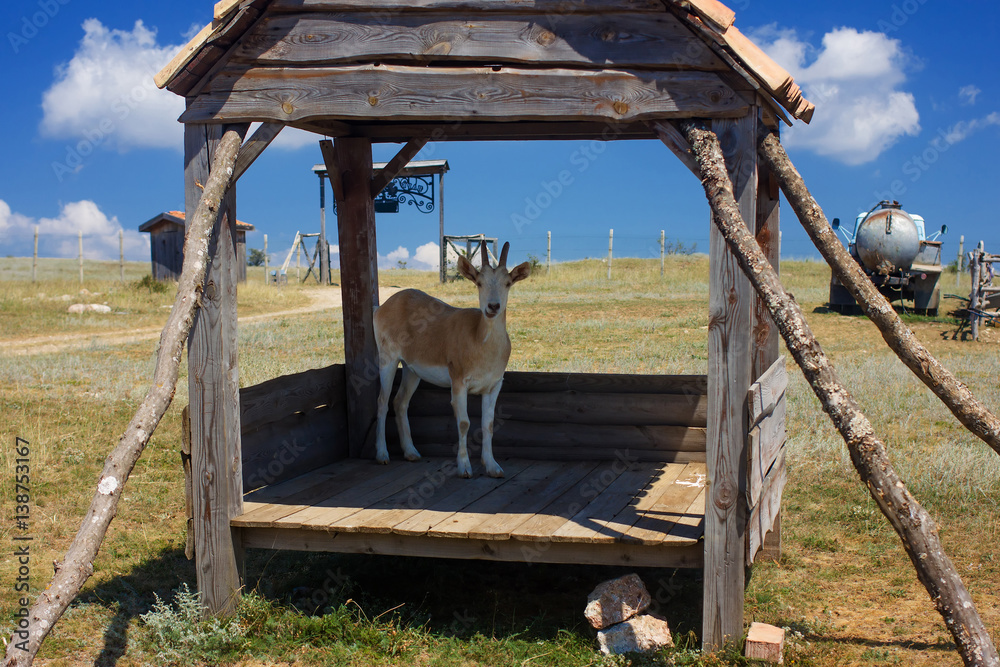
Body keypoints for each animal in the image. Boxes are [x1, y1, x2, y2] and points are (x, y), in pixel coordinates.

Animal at [373, 241, 531, 478]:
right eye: (479, 282)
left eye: (508, 282)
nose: (493, 307)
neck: (479, 341)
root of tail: (381, 308)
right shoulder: (458, 381)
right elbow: (464, 422)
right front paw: (464, 467)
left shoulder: (494, 385)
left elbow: (488, 424)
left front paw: (493, 467)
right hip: (388, 359)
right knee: (382, 401)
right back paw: (382, 455)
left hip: (411, 369)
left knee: (400, 401)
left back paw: (411, 453)